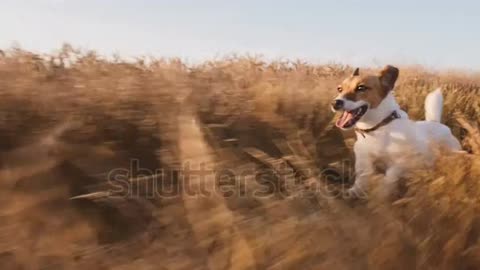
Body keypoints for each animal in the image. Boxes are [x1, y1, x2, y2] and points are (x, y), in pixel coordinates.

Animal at [330, 64, 462, 197]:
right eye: (339, 89)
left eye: (361, 87)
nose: (335, 103)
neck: (379, 128)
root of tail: (435, 122)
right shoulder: (364, 158)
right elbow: (362, 176)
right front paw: (355, 191)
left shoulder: (406, 161)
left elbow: (391, 175)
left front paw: (382, 192)